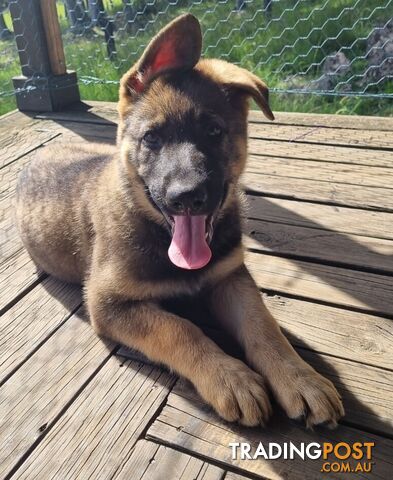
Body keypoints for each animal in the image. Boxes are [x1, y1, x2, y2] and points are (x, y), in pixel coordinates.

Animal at [16, 15, 344, 428]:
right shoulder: (108, 303)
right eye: (152, 138)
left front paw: (300, 378)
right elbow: (180, 329)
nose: (187, 196)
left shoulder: (231, 277)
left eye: (214, 131)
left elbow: (263, 325)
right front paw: (230, 378)